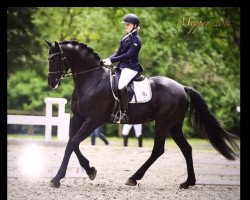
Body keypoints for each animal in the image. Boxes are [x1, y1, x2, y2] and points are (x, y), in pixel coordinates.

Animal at [44, 40, 238, 189]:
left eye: (56, 60)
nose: (51, 83)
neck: (92, 79)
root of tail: (182, 87)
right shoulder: (78, 118)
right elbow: (72, 143)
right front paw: (86, 171)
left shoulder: (93, 120)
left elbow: (73, 143)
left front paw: (60, 178)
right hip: (174, 125)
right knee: (186, 149)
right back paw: (188, 182)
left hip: (163, 123)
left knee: (158, 150)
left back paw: (133, 178)